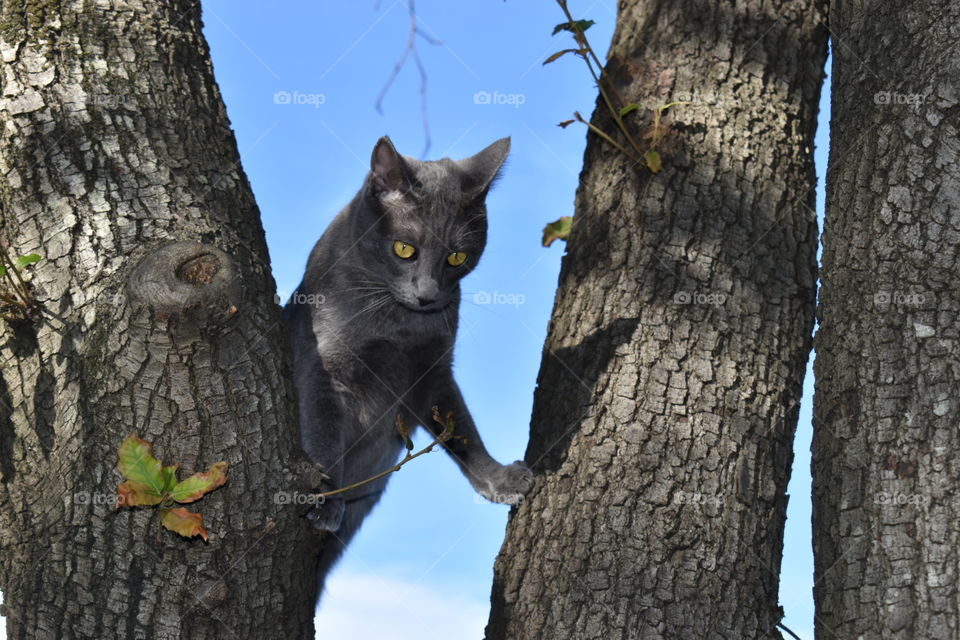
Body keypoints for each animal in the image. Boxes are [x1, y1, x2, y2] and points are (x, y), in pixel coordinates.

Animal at [282, 136, 536, 600]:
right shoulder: (325, 366)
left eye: (457, 257)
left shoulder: (433, 373)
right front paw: (325, 498)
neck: (398, 327)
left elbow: (461, 432)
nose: (428, 295)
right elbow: (324, 432)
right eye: (405, 249)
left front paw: (501, 481)